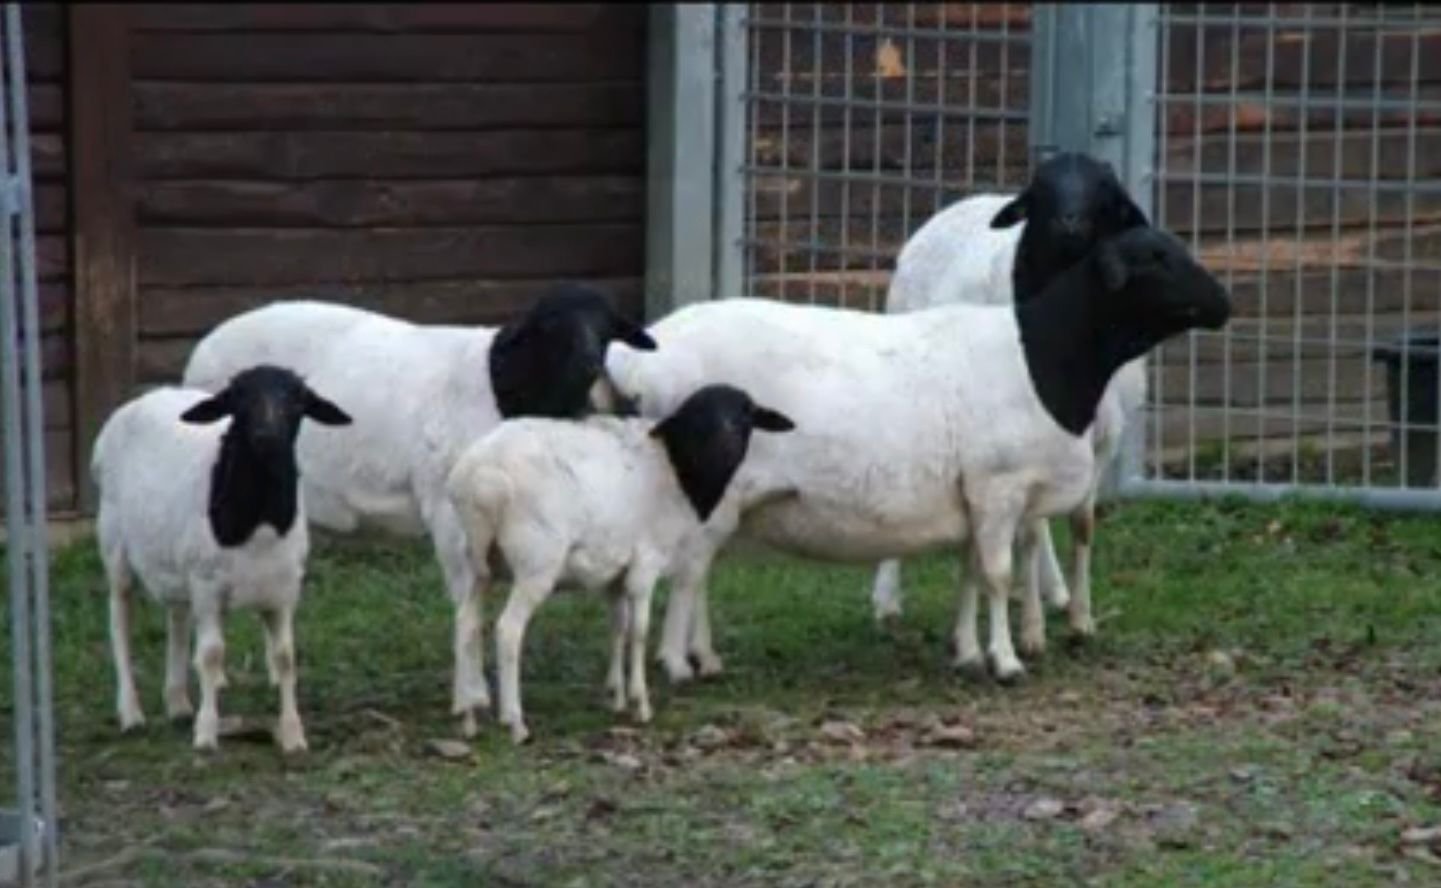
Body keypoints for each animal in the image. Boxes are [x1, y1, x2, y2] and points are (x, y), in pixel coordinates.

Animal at [92, 365, 353, 753]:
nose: (266, 436)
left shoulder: (283, 591)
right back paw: (131, 713)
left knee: (177, 618)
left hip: (178, 564)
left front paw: (293, 735)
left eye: (297, 399)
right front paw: (206, 734)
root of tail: (147, 397)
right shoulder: (207, 585)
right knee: (120, 620)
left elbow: (285, 658)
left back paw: (178, 703)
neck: (257, 521)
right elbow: (212, 654)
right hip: (115, 546)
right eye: (239, 398)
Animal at [181, 284, 658, 738]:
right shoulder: (448, 515)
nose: (590, 365)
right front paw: (472, 698)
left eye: (606, 326)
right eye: (552, 325)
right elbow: (468, 606)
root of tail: (204, 346)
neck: (502, 384)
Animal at [444, 384, 796, 743]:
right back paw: (514, 722)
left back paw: (467, 717)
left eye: (745, 414)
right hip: (536, 560)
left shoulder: (614, 572)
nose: (726, 445)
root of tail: (482, 478)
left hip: (474, 559)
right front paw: (641, 703)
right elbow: (639, 631)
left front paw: (616, 696)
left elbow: (618, 627)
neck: (675, 469)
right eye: (699, 418)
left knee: (466, 623)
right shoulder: (646, 562)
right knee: (508, 630)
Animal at [606, 225, 1230, 684]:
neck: (1046, 355)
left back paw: (704, 658)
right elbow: (999, 575)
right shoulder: (999, 485)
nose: (1225, 303)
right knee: (688, 572)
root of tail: (635, 359)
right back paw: (677, 663)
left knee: (699, 570)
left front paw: (969, 651)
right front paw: (1006, 661)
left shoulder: (975, 494)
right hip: (705, 487)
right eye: (1156, 259)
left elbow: (972, 573)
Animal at [871, 153, 1153, 647]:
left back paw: (1053, 589)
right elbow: (1032, 532)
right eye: (1041, 192)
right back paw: (887, 601)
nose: (1069, 222)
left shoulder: (1107, 435)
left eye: (1105, 192)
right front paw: (1032, 631)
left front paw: (1080, 618)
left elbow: (1082, 522)